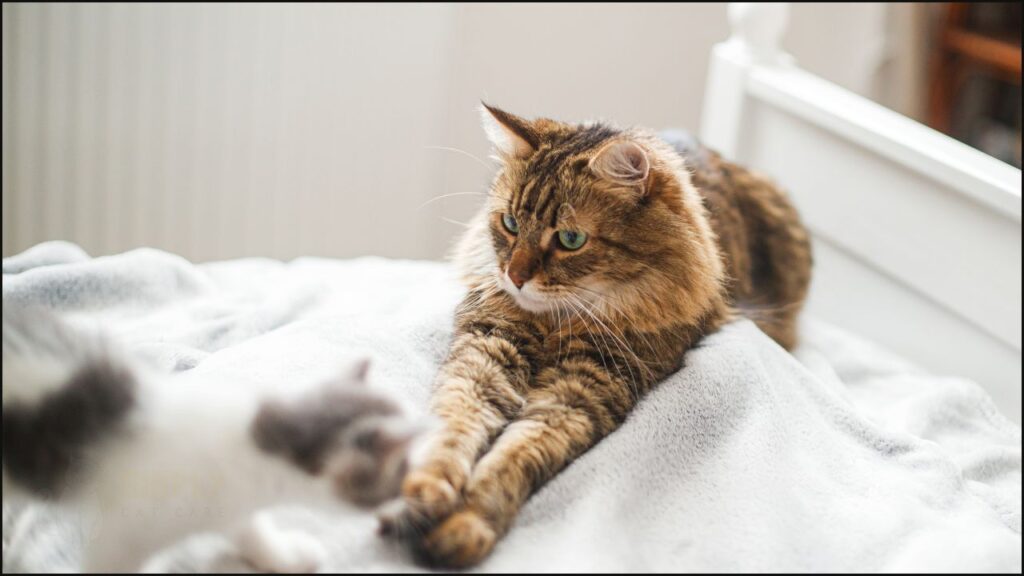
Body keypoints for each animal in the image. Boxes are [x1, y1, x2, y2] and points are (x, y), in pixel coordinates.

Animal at [3, 305, 419, 569]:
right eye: (402, 470)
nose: (409, 496)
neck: (252, 446)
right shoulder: (123, 533)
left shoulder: (233, 507)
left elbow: (250, 532)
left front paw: (284, 555)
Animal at [380, 104, 811, 565]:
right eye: (510, 223)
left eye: (571, 239)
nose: (514, 277)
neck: (555, 321)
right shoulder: (488, 345)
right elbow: (455, 422)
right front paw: (423, 492)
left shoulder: (586, 384)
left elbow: (516, 455)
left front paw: (465, 526)